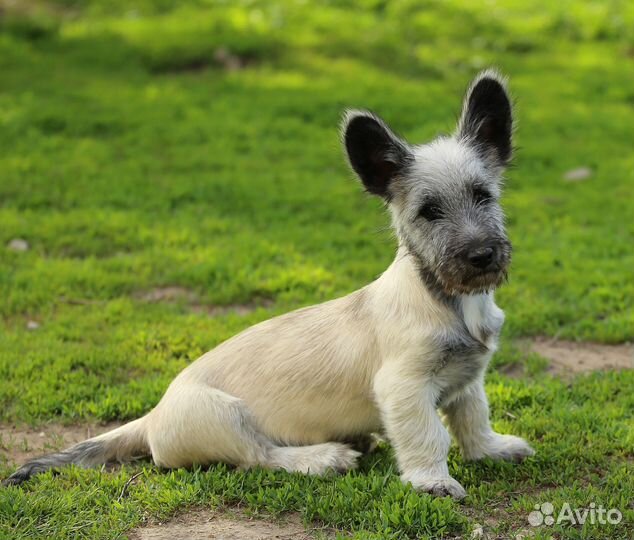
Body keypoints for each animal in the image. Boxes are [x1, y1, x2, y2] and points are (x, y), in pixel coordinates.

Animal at [4, 69, 532, 500]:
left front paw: (490, 449)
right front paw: (432, 480)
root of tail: (151, 418)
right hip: (225, 418)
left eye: (483, 196)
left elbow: (473, 418)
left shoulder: (467, 381)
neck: (447, 298)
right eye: (429, 211)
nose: (481, 256)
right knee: (260, 456)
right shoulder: (404, 387)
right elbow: (428, 436)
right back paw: (322, 456)